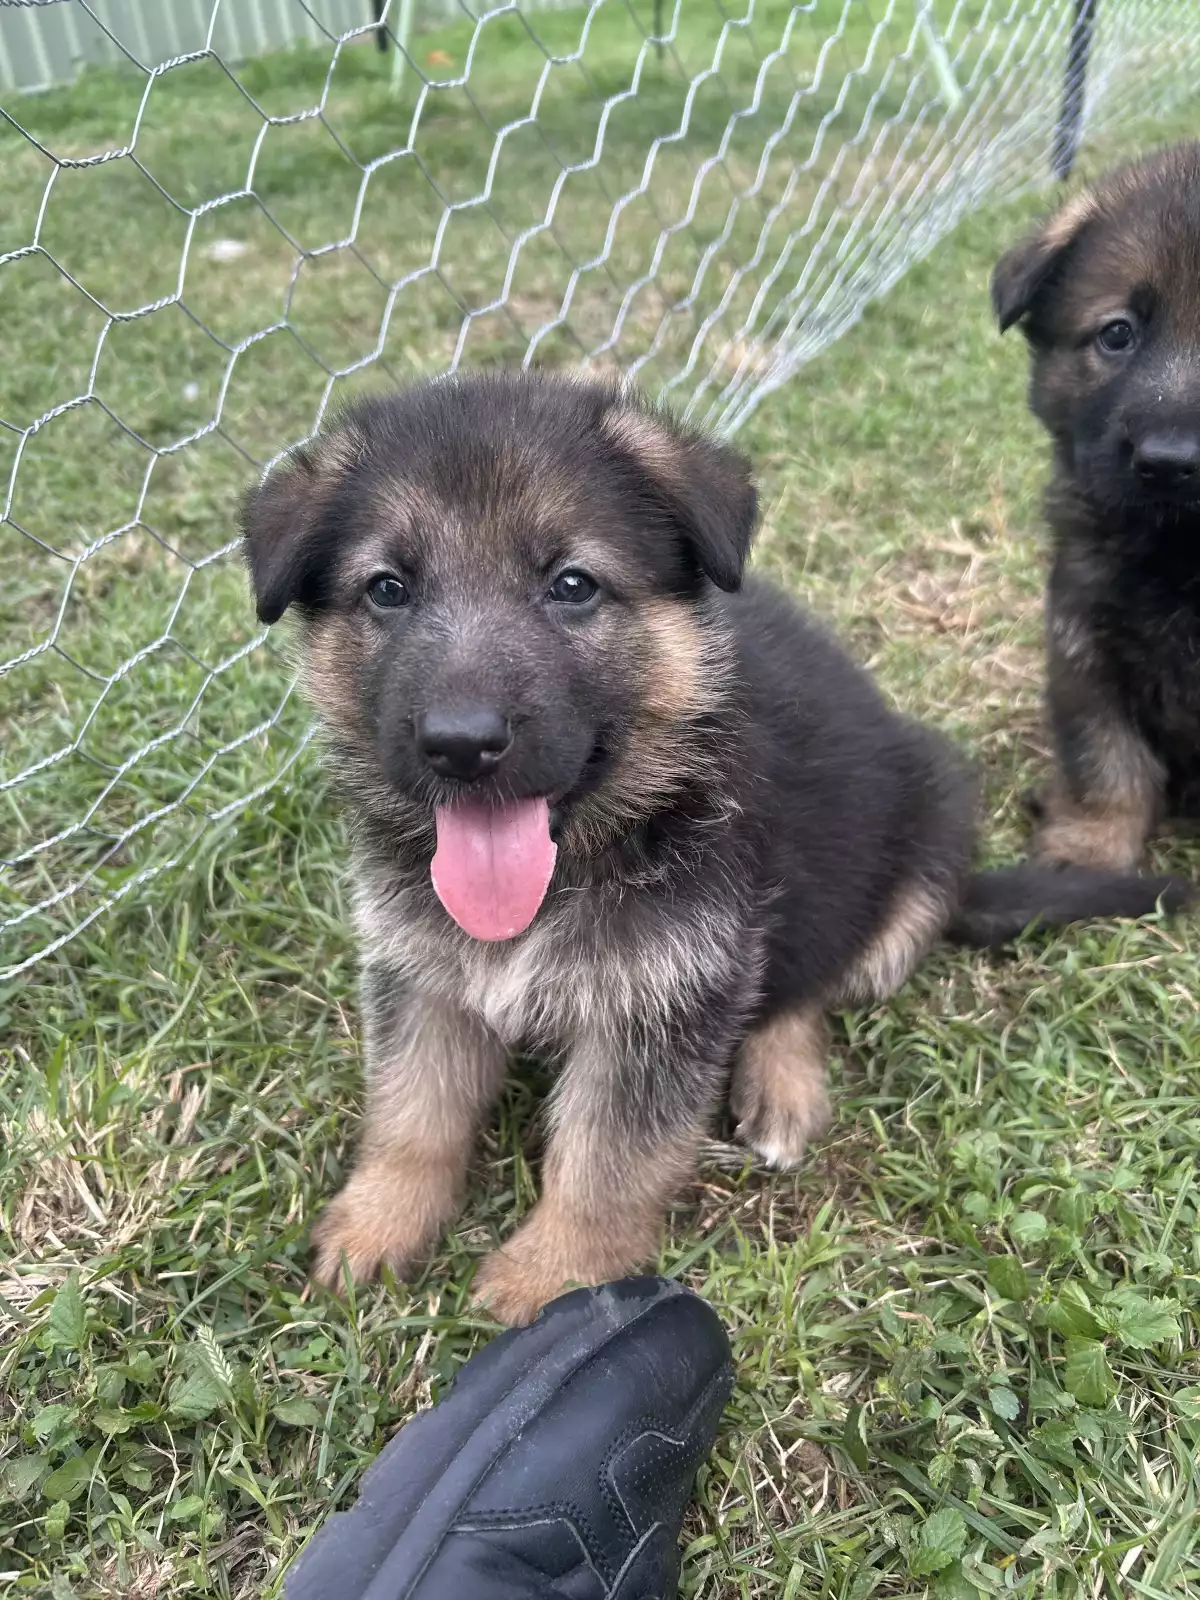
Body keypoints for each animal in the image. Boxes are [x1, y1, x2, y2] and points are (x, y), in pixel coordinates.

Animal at [241, 371, 1188, 1326]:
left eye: (572, 584)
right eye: (387, 589)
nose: (460, 745)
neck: (587, 851)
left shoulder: (669, 998)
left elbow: (608, 1157)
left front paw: (554, 1277)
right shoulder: (422, 971)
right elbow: (413, 1109)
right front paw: (380, 1220)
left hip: (913, 858)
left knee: (808, 988)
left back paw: (783, 1089)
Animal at [994, 140, 1200, 869]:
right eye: (1117, 334)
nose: (1168, 462)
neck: (1182, 554)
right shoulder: (1083, 648)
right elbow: (1106, 762)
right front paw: (1087, 850)